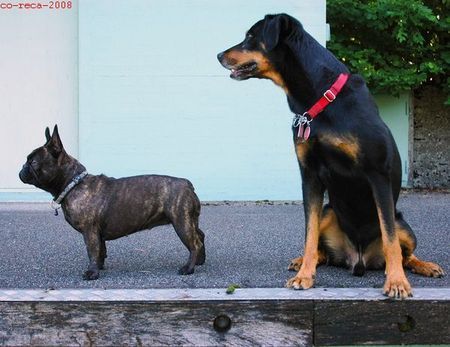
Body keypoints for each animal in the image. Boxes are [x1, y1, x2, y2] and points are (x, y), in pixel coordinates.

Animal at [218, 13, 442, 300]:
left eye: (250, 36)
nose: (219, 55)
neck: (320, 101)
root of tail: (359, 259)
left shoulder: (377, 173)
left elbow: (390, 237)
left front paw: (397, 282)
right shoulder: (310, 175)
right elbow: (309, 234)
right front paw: (305, 275)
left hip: (404, 224)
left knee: (405, 253)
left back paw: (424, 266)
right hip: (328, 210)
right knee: (322, 250)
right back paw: (302, 261)